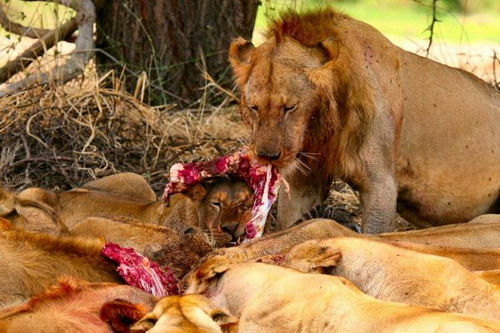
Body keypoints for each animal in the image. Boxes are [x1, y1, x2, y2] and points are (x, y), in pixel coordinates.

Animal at [229, 7, 498, 231]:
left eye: (290, 107)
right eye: (254, 107)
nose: (267, 156)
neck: (323, 127)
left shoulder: (381, 185)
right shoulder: (303, 178)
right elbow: (288, 222)